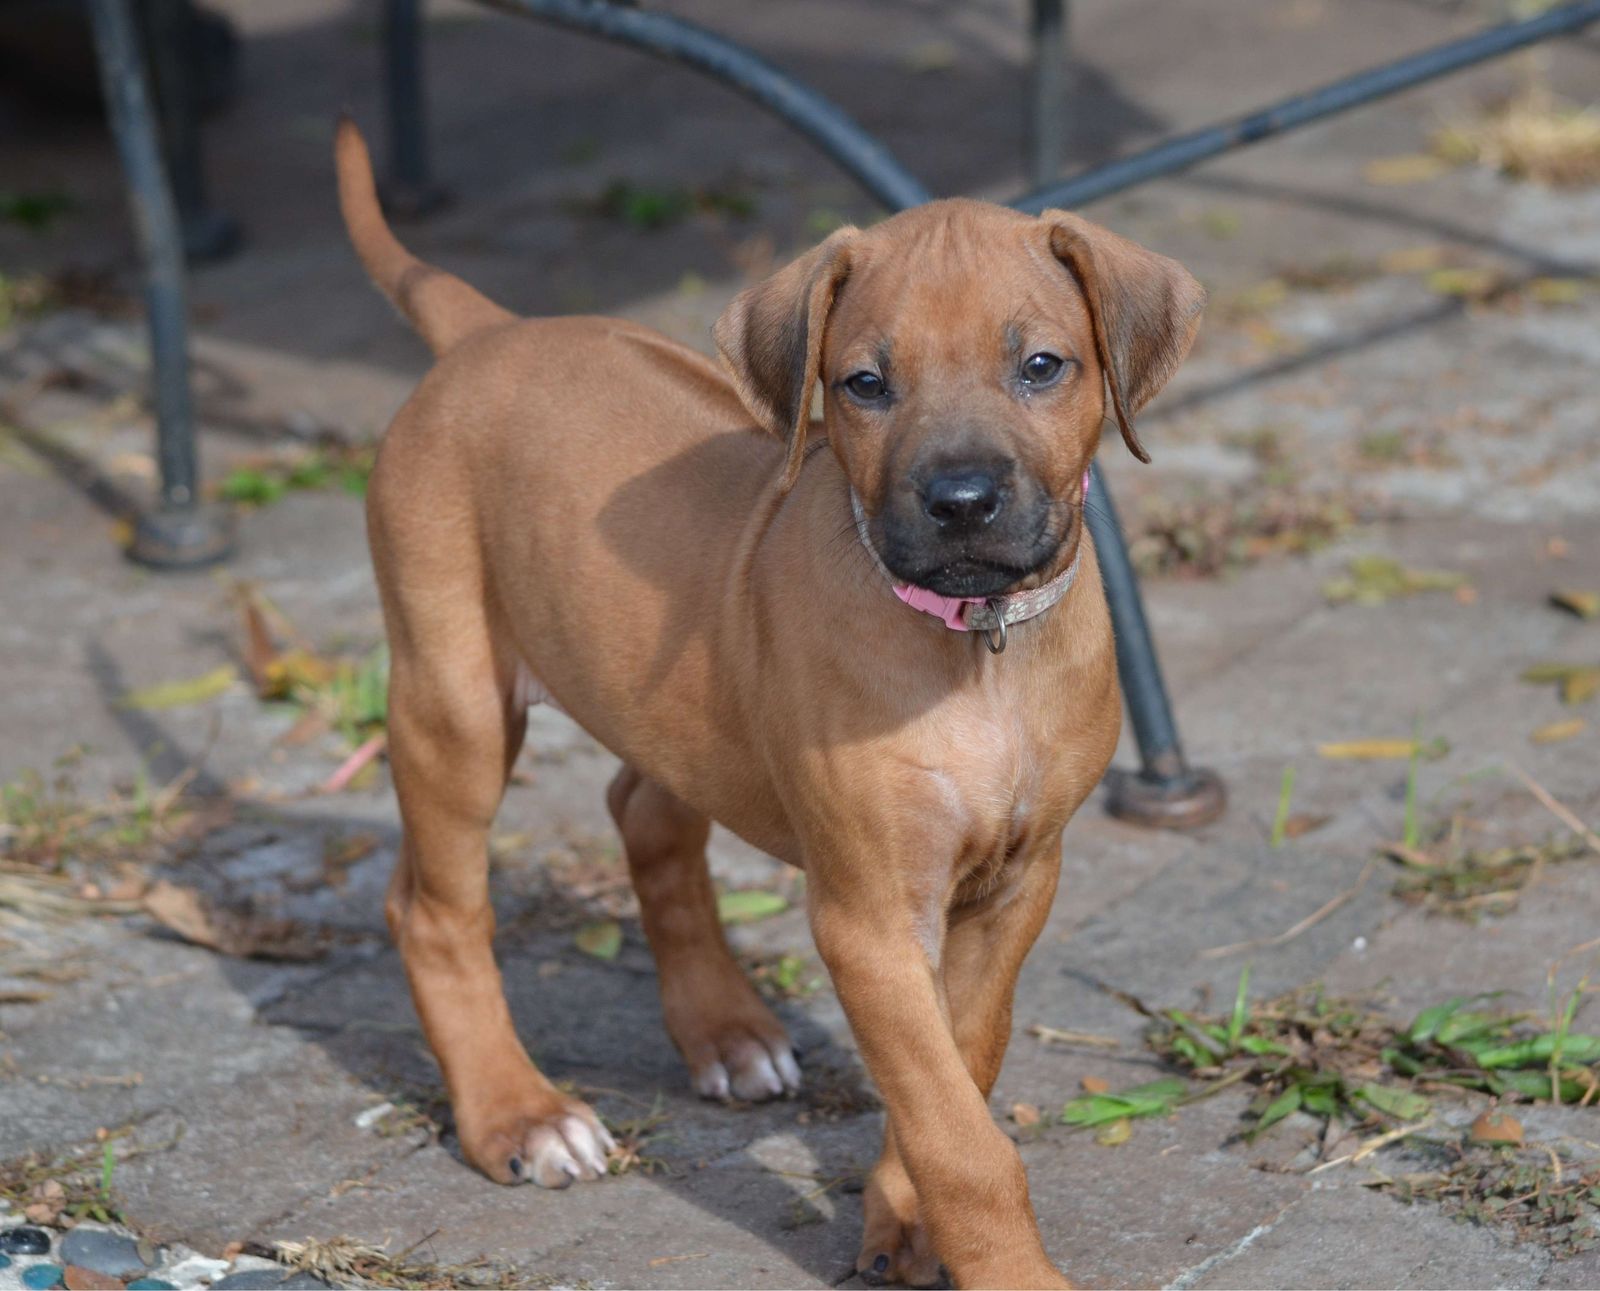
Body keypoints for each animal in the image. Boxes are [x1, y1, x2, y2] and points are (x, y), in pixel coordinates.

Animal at [335, 117, 1202, 1289]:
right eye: (865, 384)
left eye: (1040, 366)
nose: (961, 501)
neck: (975, 648)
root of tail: (488, 333)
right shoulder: (870, 919)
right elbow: (960, 1135)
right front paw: (1006, 1269)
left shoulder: (1017, 884)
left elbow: (959, 1065)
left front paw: (903, 1217)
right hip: (455, 696)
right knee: (432, 908)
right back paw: (519, 1114)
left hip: (664, 697)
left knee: (642, 812)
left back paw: (725, 1030)